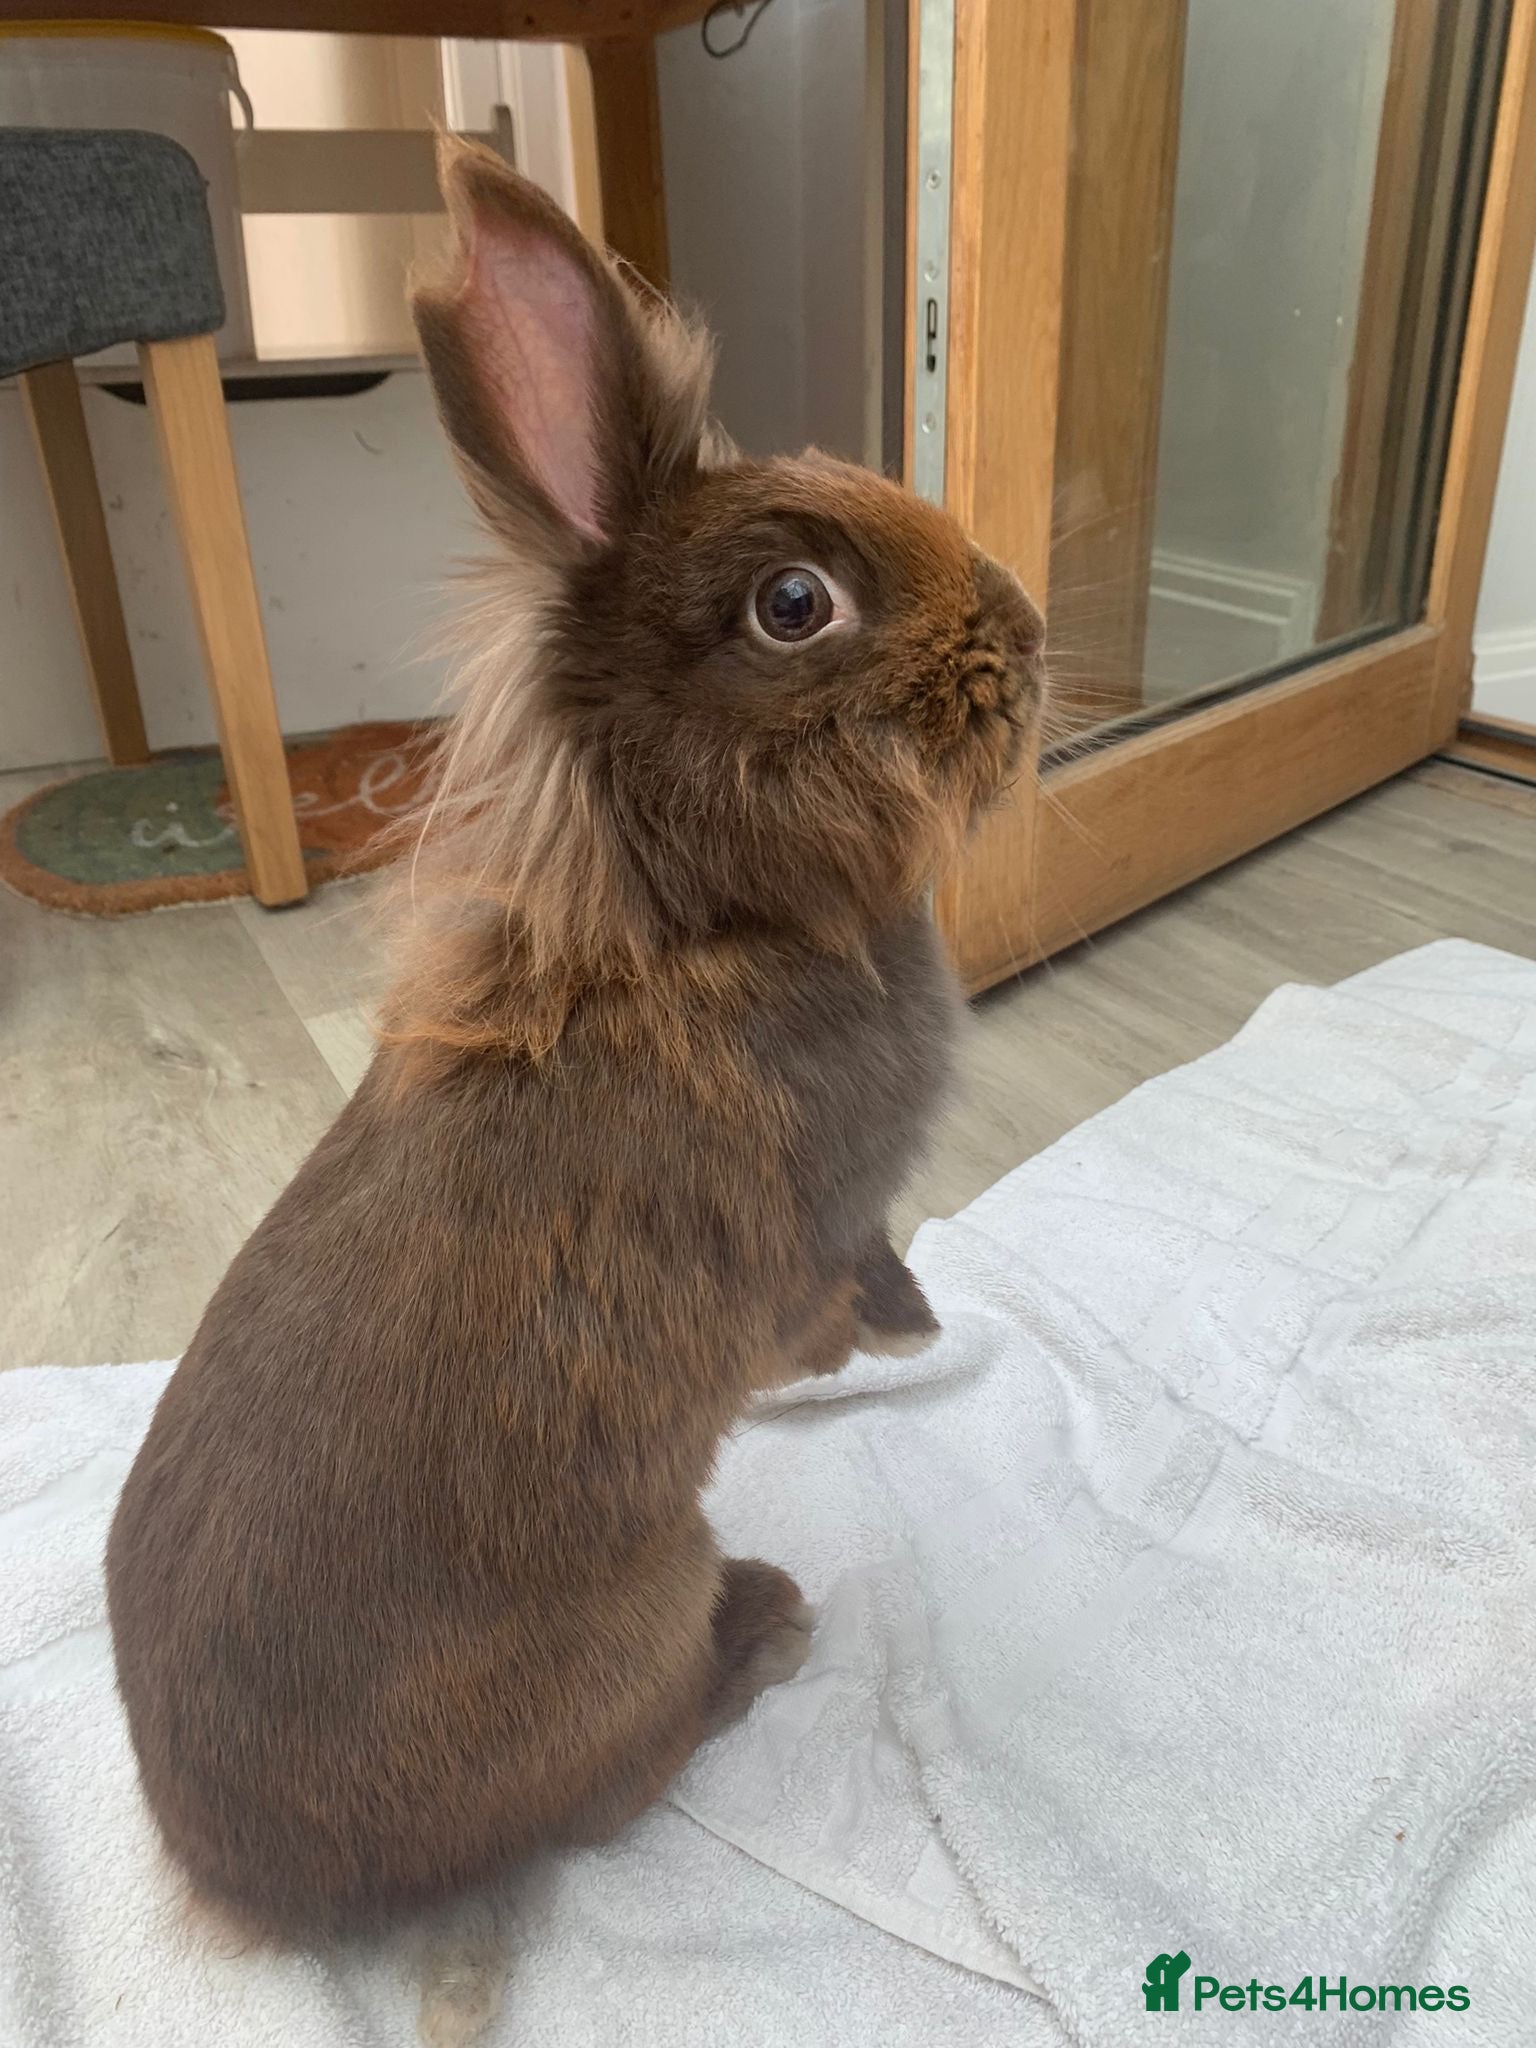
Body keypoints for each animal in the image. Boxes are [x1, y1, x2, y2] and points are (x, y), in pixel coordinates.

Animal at [105, 138, 1044, 2038]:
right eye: (794, 603)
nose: (1035, 633)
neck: (710, 919)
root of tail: (303, 1895)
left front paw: (916, 1310)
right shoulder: (782, 1262)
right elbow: (816, 1311)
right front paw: (892, 1334)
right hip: (639, 1594)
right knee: (622, 1780)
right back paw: (766, 1624)